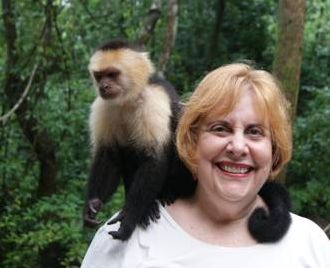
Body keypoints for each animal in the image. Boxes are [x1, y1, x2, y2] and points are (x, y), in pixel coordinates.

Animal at [83, 39, 191, 241]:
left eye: (112, 74)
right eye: (99, 76)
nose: (103, 86)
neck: (128, 99)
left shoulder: (152, 100)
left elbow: (154, 159)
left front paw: (129, 218)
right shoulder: (103, 106)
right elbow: (108, 156)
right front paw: (91, 205)